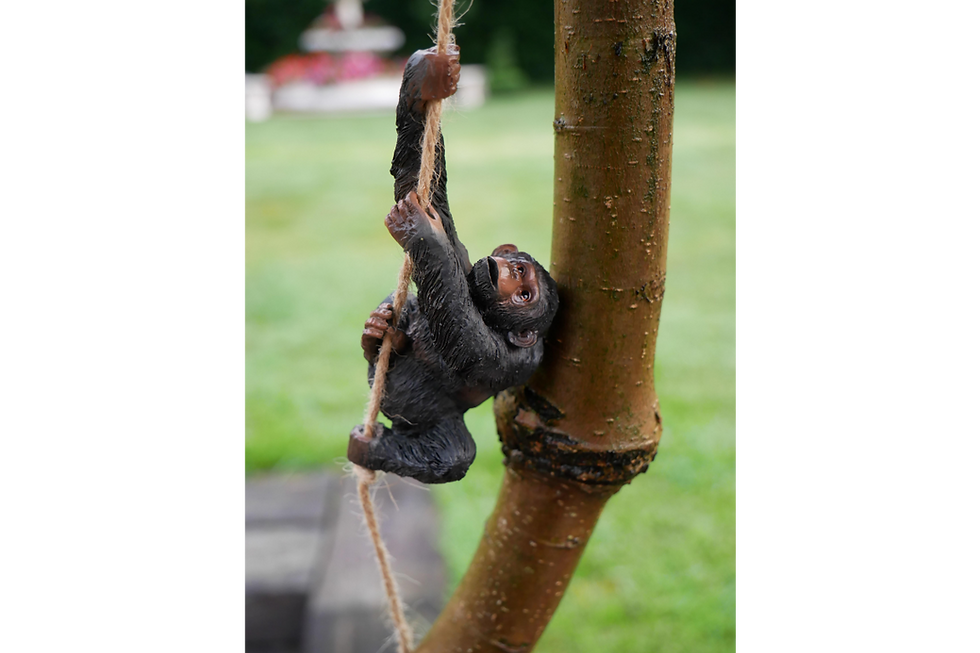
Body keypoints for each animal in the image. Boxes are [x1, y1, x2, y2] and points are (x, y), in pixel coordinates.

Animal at [347, 46, 559, 484]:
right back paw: (377, 333)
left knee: (452, 456)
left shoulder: (512, 359)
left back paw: (371, 448)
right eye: (517, 267)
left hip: (437, 430)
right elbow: (424, 185)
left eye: (524, 294)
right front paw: (427, 78)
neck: (488, 311)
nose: (505, 271)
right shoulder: (465, 264)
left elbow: (463, 337)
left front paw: (420, 232)